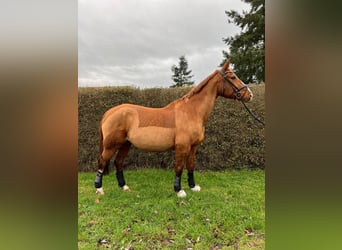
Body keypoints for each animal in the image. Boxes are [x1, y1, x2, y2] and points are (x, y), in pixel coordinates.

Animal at [95, 60, 252, 197]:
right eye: (233, 77)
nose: (250, 95)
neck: (191, 111)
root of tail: (109, 112)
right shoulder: (182, 146)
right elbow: (179, 167)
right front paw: (179, 190)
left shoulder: (193, 147)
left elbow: (191, 165)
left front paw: (193, 187)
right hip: (111, 145)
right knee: (102, 161)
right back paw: (99, 189)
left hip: (126, 144)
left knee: (118, 162)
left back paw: (124, 187)